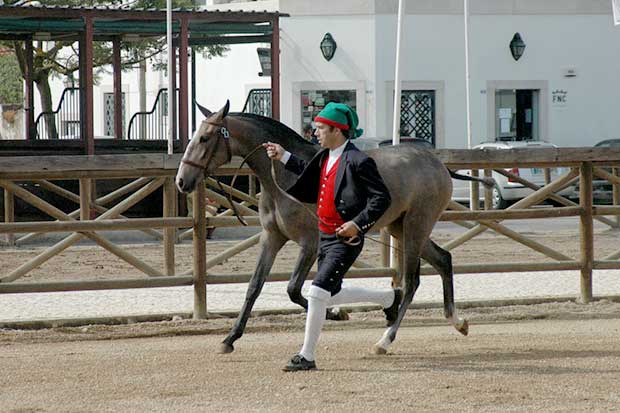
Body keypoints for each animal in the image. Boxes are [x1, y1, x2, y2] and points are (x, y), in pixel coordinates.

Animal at [177, 101, 482, 352]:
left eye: (204, 138)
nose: (182, 181)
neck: (285, 180)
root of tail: (437, 163)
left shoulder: (310, 243)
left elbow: (294, 289)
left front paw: (336, 313)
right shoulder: (272, 238)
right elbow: (255, 286)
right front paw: (230, 338)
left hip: (417, 225)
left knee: (412, 281)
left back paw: (386, 339)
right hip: (401, 227)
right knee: (443, 259)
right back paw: (454, 321)